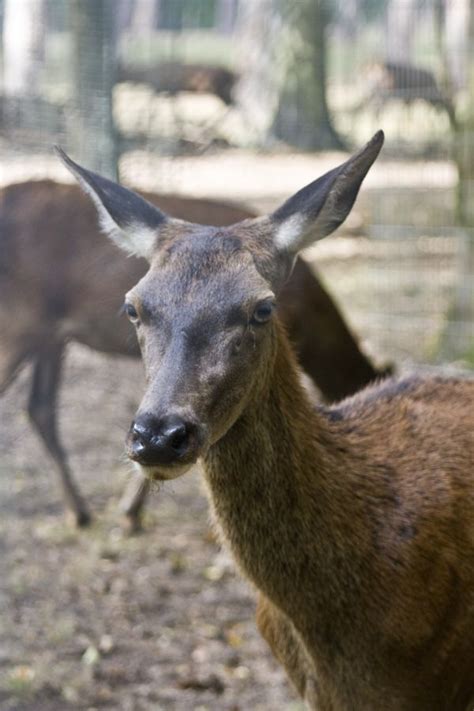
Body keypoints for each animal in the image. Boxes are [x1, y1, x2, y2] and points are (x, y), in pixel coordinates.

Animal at [0, 178, 388, 528]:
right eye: (131, 309)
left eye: (263, 310)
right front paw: (131, 510)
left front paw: (131, 507)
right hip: (19, 323)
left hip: (48, 337)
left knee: (40, 408)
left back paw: (79, 512)